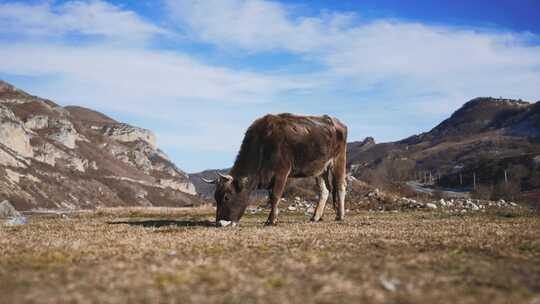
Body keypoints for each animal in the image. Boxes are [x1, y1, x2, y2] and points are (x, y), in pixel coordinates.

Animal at [201, 113, 346, 226]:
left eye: (226, 197)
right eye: (215, 197)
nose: (220, 223)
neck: (263, 143)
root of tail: (335, 121)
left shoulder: (282, 172)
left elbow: (276, 196)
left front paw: (271, 221)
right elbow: (271, 197)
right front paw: (273, 217)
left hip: (338, 160)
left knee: (340, 186)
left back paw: (340, 216)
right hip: (319, 168)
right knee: (324, 191)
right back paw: (315, 217)